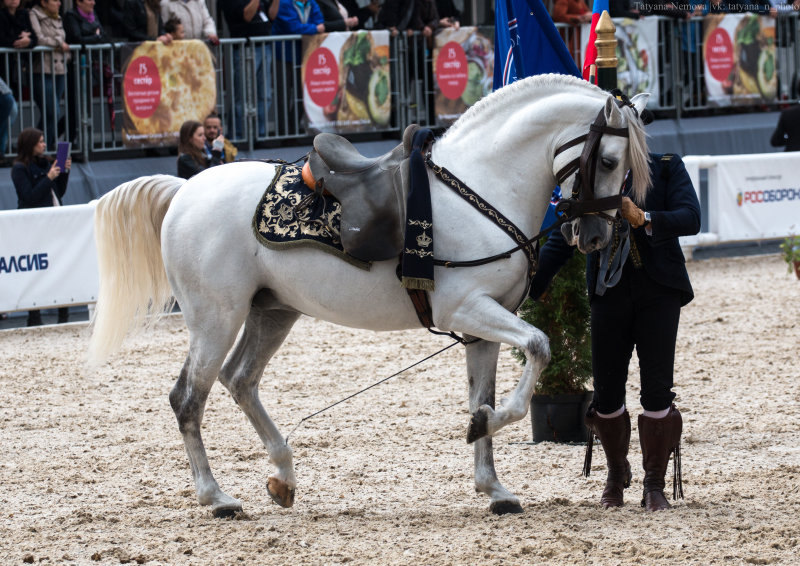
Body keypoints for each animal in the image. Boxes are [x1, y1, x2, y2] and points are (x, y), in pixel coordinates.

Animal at [89, 75, 648, 520]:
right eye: (609, 159)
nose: (595, 236)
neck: (480, 185)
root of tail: (184, 191)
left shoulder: (483, 325)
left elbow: (484, 395)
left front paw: (493, 485)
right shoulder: (466, 309)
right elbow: (538, 347)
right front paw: (483, 430)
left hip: (273, 312)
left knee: (240, 381)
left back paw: (283, 476)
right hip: (215, 319)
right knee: (189, 397)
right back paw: (217, 497)